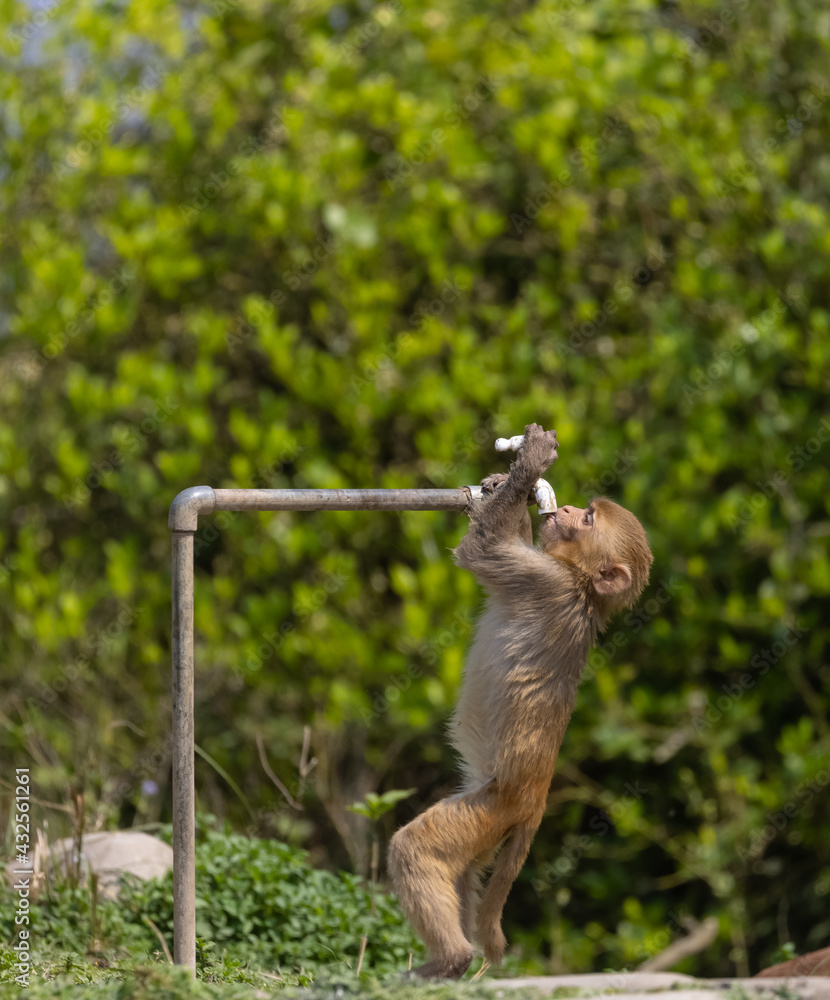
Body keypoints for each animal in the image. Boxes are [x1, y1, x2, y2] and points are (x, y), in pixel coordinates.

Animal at [387, 423, 653, 979]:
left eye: (588, 519)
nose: (566, 507)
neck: (581, 588)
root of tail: (534, 803)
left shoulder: (542, 581)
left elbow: (484, 548)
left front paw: (528, 463)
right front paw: (505, 483)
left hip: (491, 806)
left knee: (416, 851)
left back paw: (450, 960)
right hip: (486, 823)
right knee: (461, 872)